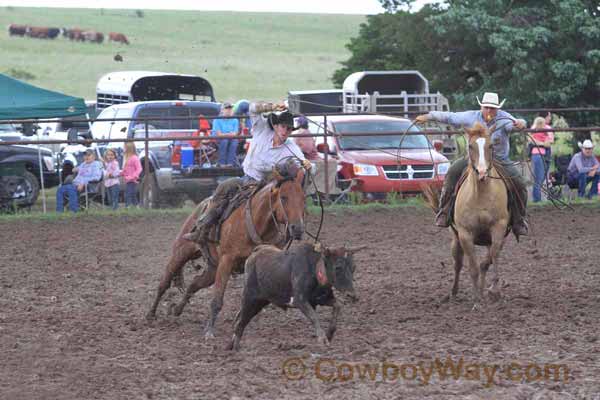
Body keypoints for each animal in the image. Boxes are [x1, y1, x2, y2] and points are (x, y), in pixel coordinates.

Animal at [145, 165, 304, 338]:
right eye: (284, 197)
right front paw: (209, 331)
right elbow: (217, 299)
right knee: (164, 283)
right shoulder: (227, 260)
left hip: (213, 269)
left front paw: (238, 322)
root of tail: (202, 205)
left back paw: (177, 310)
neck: (257, 222)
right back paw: (150, 314)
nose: (297, 229)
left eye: (302, 198)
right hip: (181, 253)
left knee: (194, 283)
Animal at [227, 241, 364, 350]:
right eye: (338, 267)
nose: (352, 295)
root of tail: (254, 253)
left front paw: (330, 334)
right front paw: (322, 339)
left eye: (354, 267)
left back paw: (231, 344)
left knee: (239, 318)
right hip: (249, 298)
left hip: (261, 302)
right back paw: (235, 346)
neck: (314, 270)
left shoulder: (320, 299)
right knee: (240, 321)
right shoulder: (300, 300)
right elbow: (314, 317)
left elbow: (338, 306)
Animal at [422, 123, 510, 310]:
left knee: (485, 262)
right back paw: (453, 293)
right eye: (470, 146)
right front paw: (476, 301)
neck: (481, 195)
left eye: (491, 146)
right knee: (458, 264)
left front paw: (493, 291)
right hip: (456, 239)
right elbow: (473, 267)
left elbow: (491, 259)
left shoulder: (499, 229)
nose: (482, 172)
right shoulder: (465, 234)